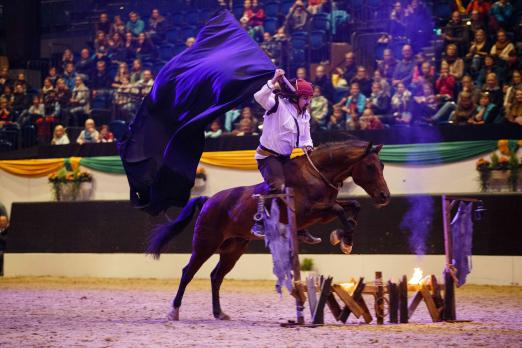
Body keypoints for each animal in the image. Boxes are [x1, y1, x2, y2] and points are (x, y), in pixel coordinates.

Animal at [144, 139, 388, 320]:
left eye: (382, 166)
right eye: (369, 166)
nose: (384, 196)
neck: (316, 174)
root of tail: (208, 200)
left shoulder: (323, 211)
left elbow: (352, 206)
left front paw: (344, 237)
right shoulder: (309, 211)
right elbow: (339, 209)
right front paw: (344, 239)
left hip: (233, 249)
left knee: (216, 276)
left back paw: (219, 313)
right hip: (205, 245)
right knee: (188, 272)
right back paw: (173, 311)